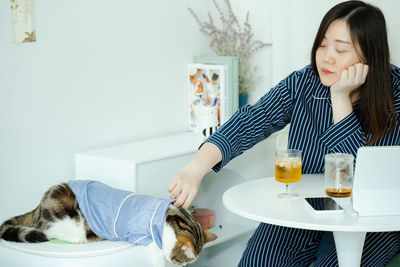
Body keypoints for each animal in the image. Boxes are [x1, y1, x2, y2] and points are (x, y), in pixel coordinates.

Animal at [0, 181, 217, 266]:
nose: (180, 265)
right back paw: (75, 238)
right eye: (182, 260)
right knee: (49, 230)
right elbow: (156, 252)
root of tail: (38, 206)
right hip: (63, 207)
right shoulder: (143, 236)